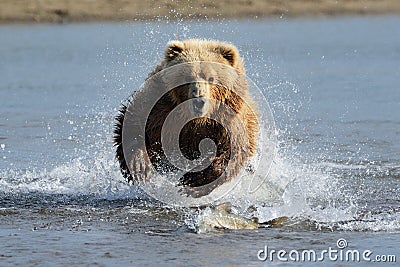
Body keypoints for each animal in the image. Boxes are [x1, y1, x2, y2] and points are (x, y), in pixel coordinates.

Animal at [113, 38, 260, 198]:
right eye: (188, 77)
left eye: (211, 78)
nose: (199, 100)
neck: (196, 119)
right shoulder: (160, 105)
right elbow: (133, 122)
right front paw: (140, 166)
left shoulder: (228, 118)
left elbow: (233, 150)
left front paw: (193, 181)